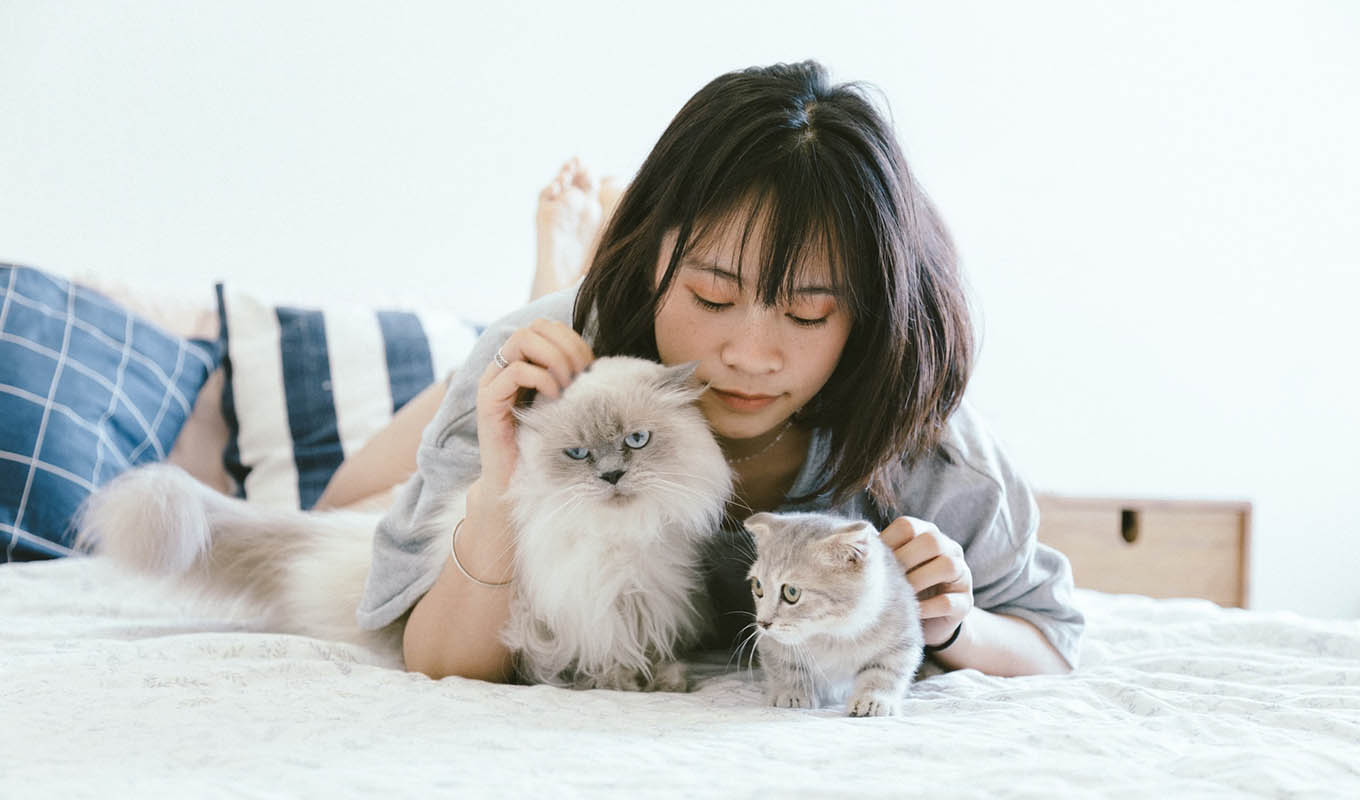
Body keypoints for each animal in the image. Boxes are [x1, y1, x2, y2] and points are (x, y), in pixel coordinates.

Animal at [745, 511, 924, 718]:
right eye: (758, 586)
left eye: (791, 592)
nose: (763, 623)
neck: (830, 634)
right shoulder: (770, 642)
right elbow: (784, 666)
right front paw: (791, 693)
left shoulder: (902, 630)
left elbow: (886, 670)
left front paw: (872, 700)